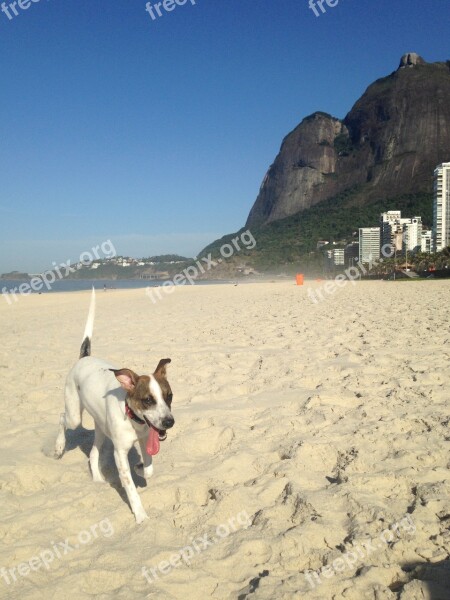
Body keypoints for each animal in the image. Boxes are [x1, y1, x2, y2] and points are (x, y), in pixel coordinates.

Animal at [55, 288, 175, 524]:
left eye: (169, 396)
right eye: (148, 400)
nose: (169, 422)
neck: (133, 419)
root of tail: (85, 357)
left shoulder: (146, 440)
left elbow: (149, 469)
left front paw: (140, 468)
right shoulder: (120, 453)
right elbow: (130, 488)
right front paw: (141, 516)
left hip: (101, 429)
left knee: (93, 453)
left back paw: (98, 479)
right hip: (74, 415)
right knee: (63, 418)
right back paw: (58, 446)